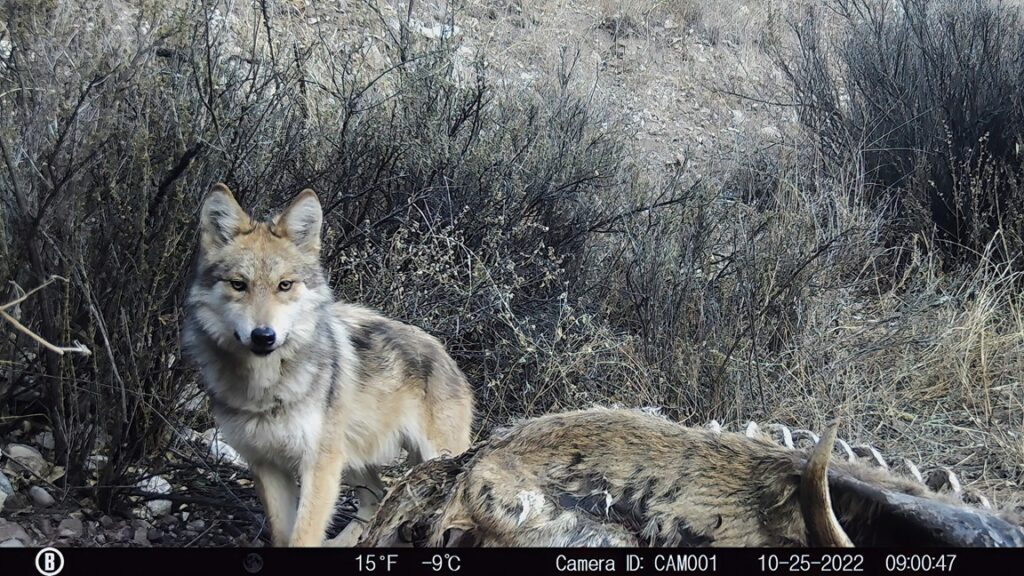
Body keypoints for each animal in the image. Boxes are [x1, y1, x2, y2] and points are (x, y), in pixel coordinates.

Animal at [182, 183, 474, 547]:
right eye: (239, 284)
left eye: (285, 285)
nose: (263, 336)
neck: (266, 389)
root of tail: (445, 352)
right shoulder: (267, 466)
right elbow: (284, 536)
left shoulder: (318, 466)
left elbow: (303, 536)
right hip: (350, 459)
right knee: (375, 499)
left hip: (426, 457)